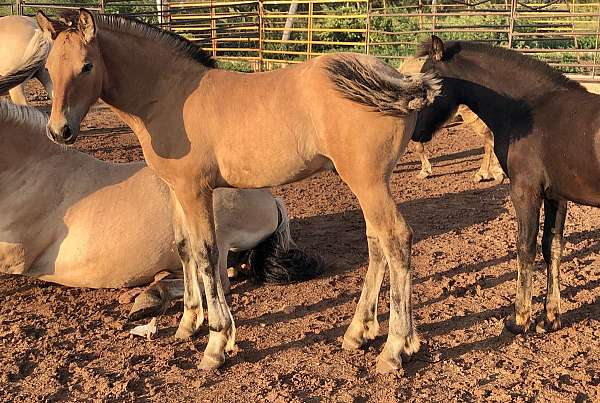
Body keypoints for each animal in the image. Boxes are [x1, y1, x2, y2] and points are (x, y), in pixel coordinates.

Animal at [414, 37, 596, 334]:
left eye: (429, 82)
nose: (416, 132)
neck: (527, 111)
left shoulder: (525, 192)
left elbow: (525, 247)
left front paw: (519, 319)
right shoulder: (556, 196)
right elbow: (553, 247)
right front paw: (550, 318)